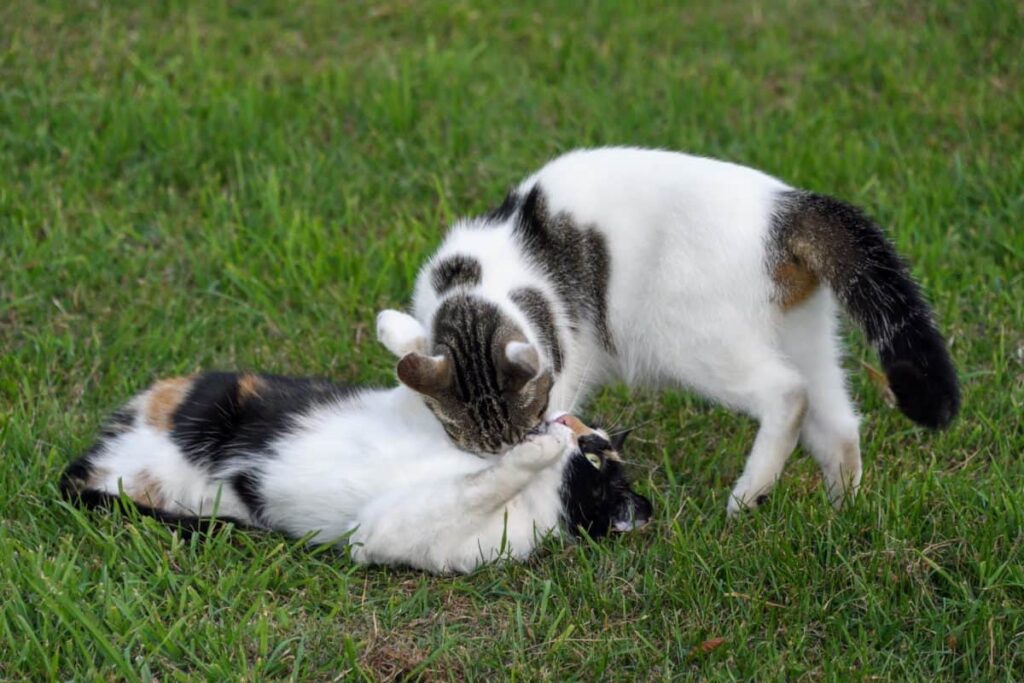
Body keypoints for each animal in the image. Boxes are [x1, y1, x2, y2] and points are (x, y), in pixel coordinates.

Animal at [58, 366, 647, 573]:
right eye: (593, 439)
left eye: (596, 457)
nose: (567, 421)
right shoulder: (402, 408)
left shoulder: (392, 533)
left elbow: (476, 486)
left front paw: (538, 451)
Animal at [376, 147, 958, 516]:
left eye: (532, 422)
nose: (514, 453)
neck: (472, 283)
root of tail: (786, 207)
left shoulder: (564, 357)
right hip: (804, 331)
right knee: (835, 421)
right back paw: (843, 512)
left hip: (689, 339)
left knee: (789, 394)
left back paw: (748, 494)